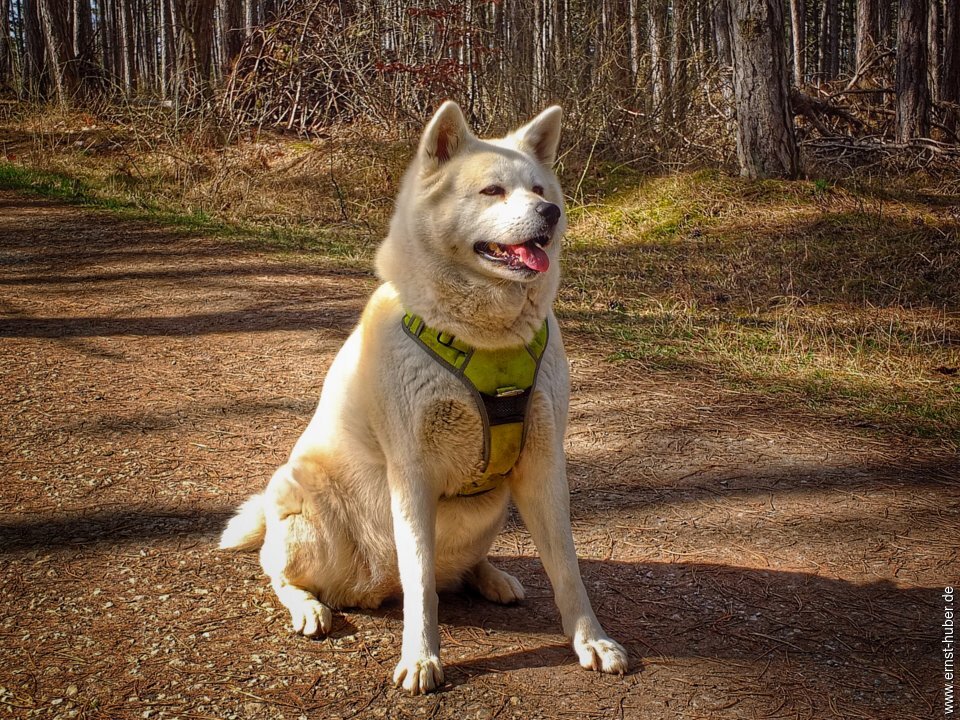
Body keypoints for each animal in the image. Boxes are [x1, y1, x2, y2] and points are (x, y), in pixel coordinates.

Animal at [223, 101, 632, 692]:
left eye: (538, 188)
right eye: (492, 191)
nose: (551, 213)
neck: (486, 339)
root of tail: (373, 587)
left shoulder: (543, 462)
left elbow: (567, 568)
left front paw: (591, 639)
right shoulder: (411, 471)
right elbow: (420, 585)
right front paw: (420, 657)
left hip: (491, 508)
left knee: (450, 572)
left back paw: (491, 577)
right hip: (307, 508)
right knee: (282, 572)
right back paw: (309, 607)